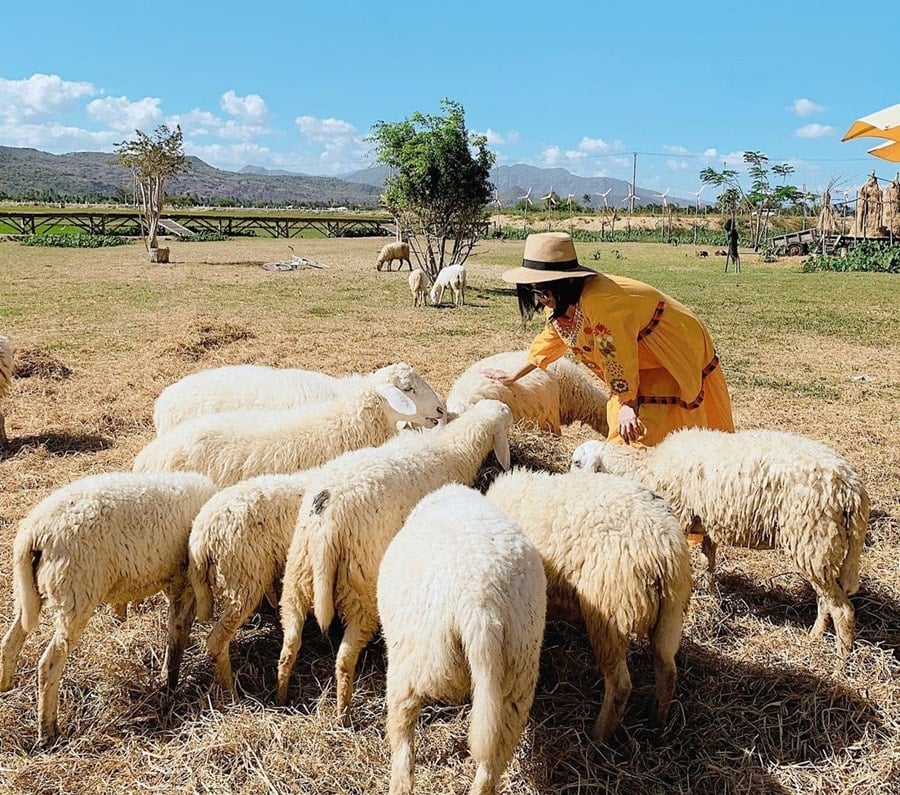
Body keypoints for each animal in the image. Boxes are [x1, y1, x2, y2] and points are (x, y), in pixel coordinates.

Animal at [0, 471, 217, 747]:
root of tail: (33, 531)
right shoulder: (187, 585)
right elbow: (178, 634)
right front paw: (170, 684)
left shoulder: (176, 583)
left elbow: (175, 633)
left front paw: (166, 680)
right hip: (75, 595)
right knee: (48, 664)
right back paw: (48, 732)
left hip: (27, 593)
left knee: (10, 642)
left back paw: (5, 686)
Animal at [276, 399, 513, 720]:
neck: (452, 447)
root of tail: (327, 520)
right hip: (361, 583)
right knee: (344, 657)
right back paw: (343, 711)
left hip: (298, 574)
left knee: (289, 645)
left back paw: (281, 696)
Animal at [485, 468, 691, 744]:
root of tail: (664, 550)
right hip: (671, 613)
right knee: (667, 670)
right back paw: (657, 722)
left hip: (612, 613)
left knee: (620, 686)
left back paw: (598, 737)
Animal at [570, 429, 870, 665]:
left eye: (576, 462)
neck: (646, 467)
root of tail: (852, 489)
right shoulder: (705, 521)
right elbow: (709, 560)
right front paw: (710, 590)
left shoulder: (680, 515)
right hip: (821, 547)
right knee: (826, 599)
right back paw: (815, 636)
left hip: (813, 537)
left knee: (842, 608)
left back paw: (841, 660)